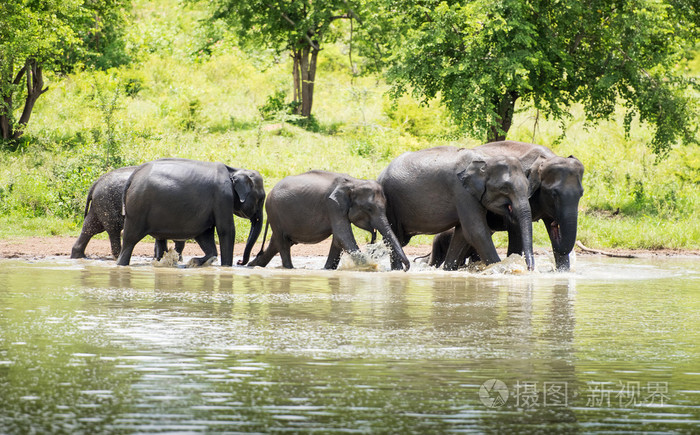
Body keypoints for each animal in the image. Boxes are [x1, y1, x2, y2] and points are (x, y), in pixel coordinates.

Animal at [116, 157, 264, 266]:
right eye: (261, 198)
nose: (240, 262)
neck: (234, 170)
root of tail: (133, 176)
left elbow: (205, 234)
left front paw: (195, 262)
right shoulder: (223, 197)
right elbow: (226, 230)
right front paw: (226, 267)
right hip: (137, 208)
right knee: (130, 239)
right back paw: (121, 264)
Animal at [246, 171, 410, 270]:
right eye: (369, 209)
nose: (407, 268)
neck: (354, 182)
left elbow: (338, 240)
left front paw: (327, 269)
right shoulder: (334, 206)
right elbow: (343, 235)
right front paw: (372, 268)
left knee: (276, 242)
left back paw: (252, 265)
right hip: (274, 212)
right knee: (282, 243)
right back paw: (289, 269)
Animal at [380, 145, 532, 270]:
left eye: (528, 186)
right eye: (504, 188)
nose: (530, 269)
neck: (486, 158)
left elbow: (462, 234)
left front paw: (448, 270)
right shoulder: (462, 192)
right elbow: (476, 232)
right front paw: (500, 267)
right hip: (390, 201)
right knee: (395, 236)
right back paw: (398, 270)